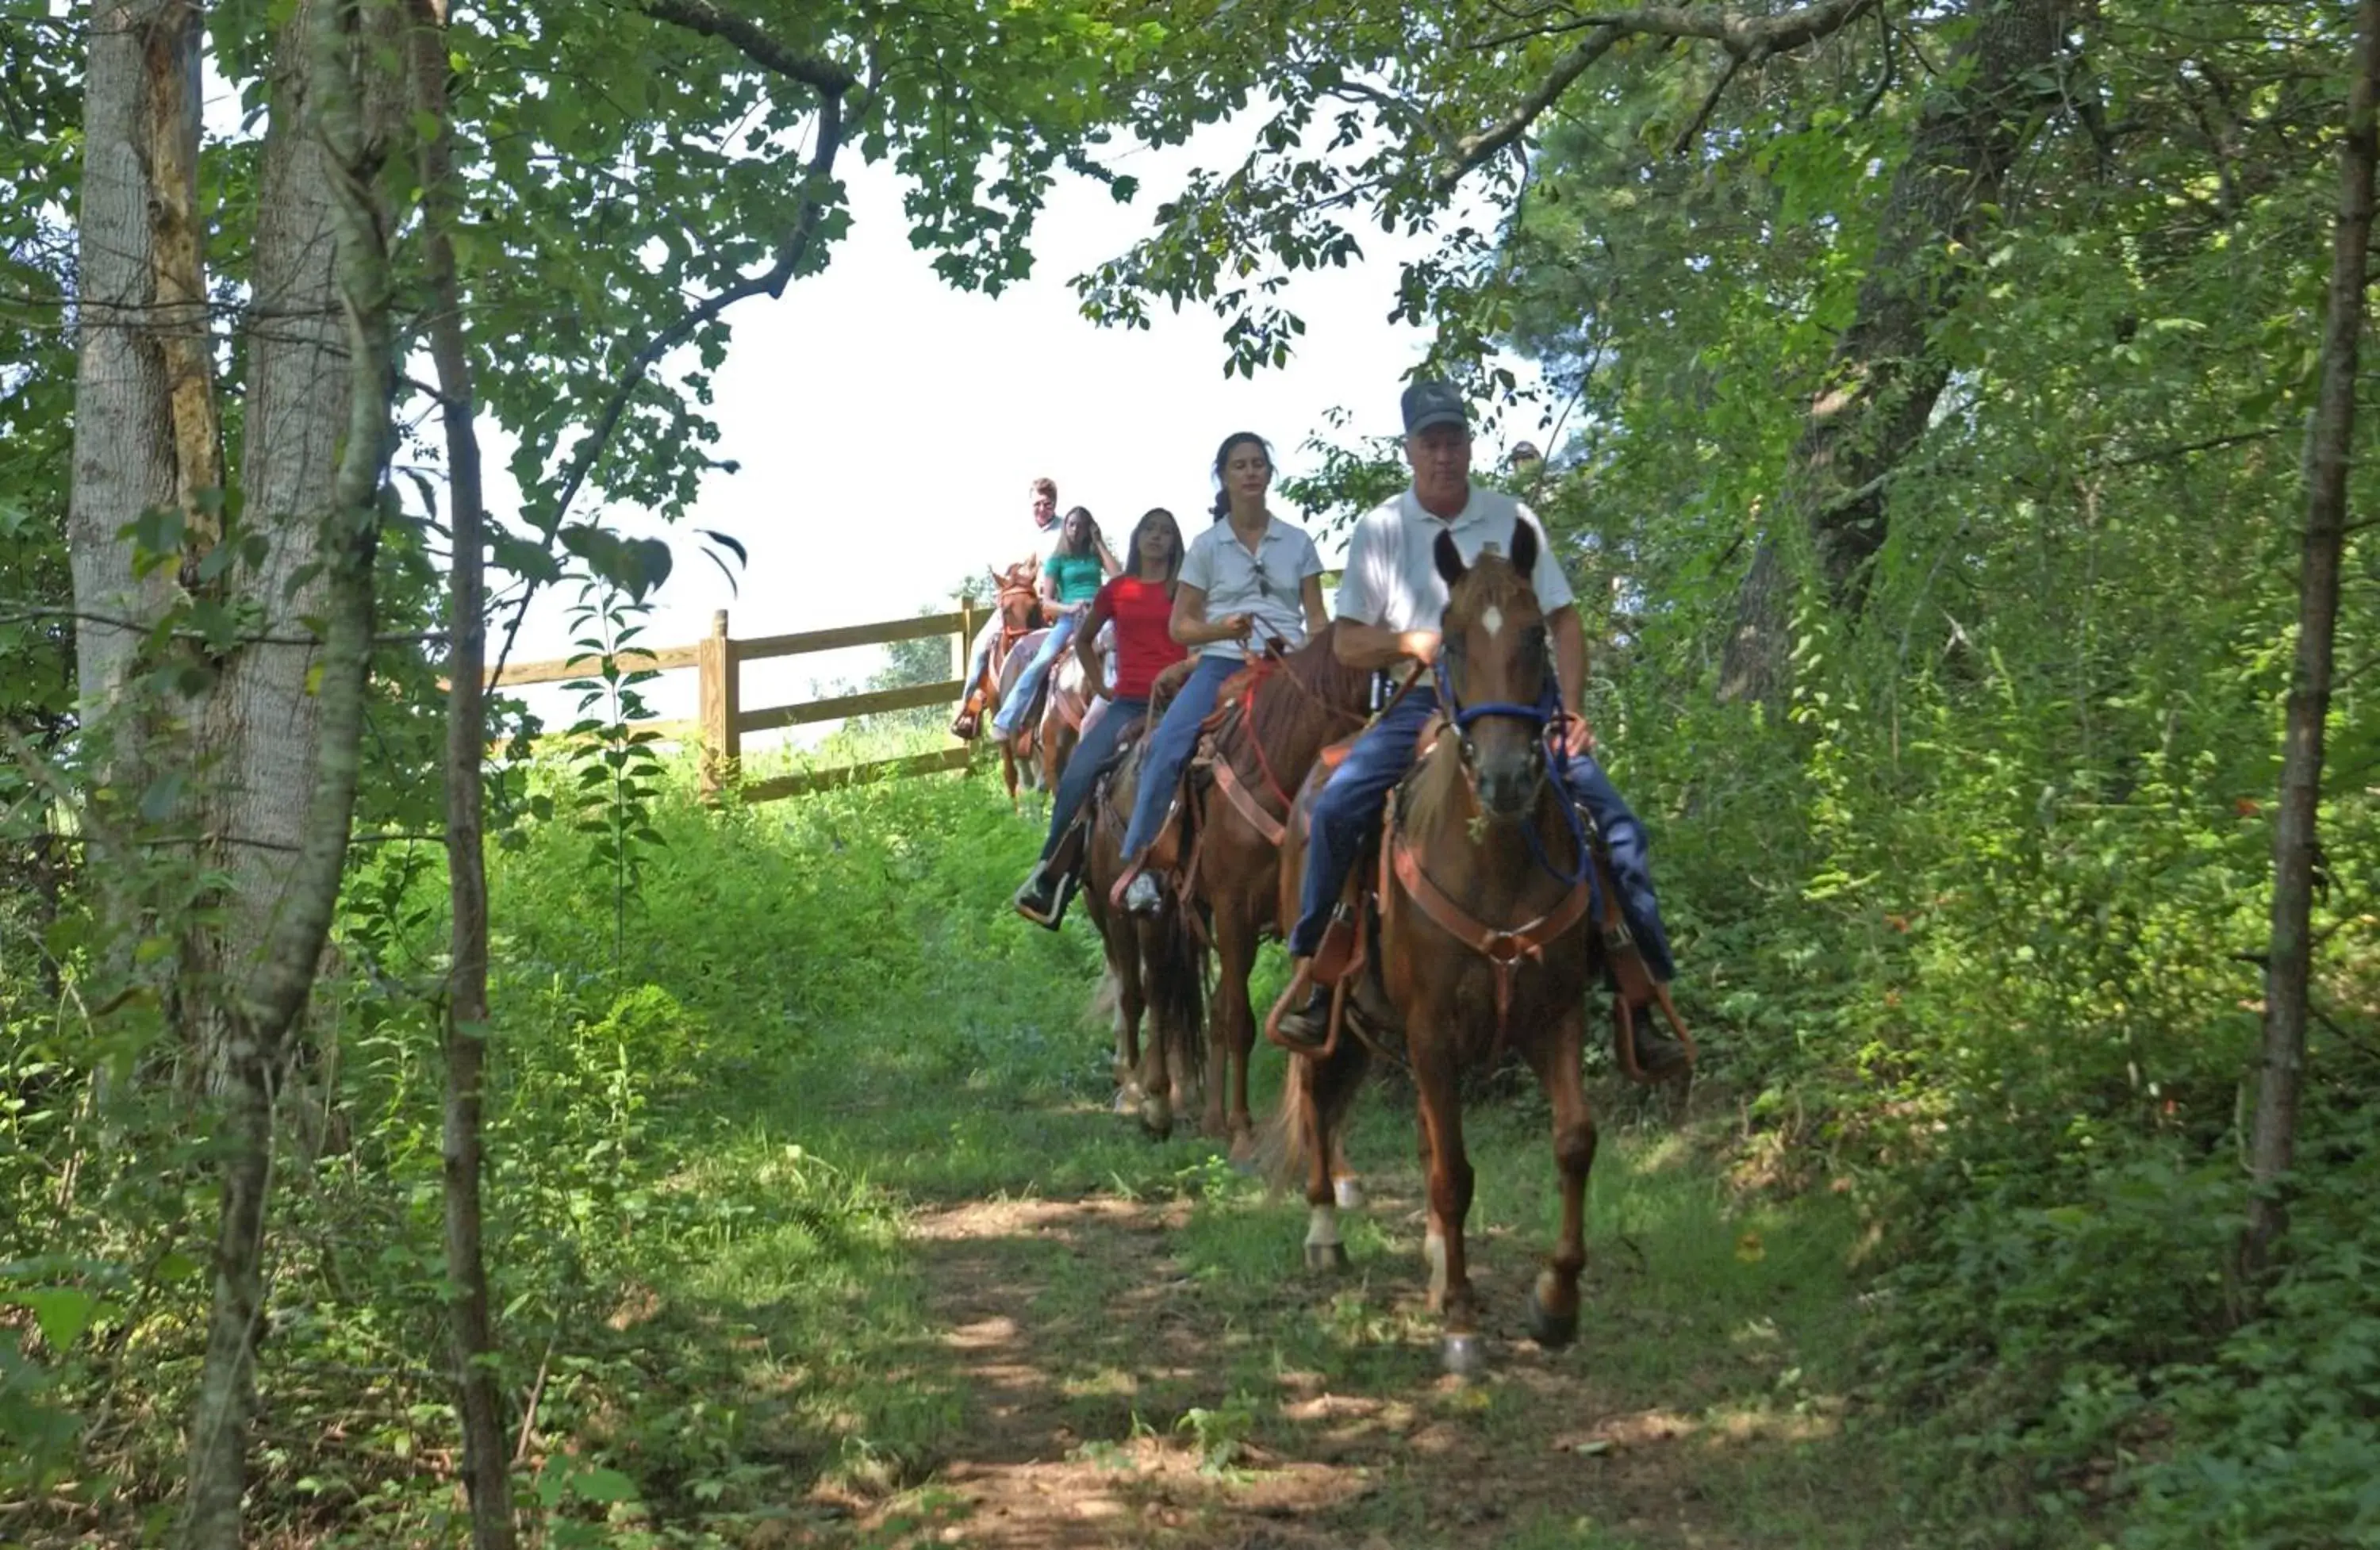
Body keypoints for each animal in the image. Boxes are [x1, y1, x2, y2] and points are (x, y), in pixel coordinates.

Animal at [1285, 528, 1618, 1380]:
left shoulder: (1554, 1015)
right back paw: (1323, 1231)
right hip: (1331, 1004)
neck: (1493, 859)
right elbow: (1454, 1173)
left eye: (1534, 635)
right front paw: (1465, 1324)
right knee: (1315, 1086)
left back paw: (1437, 1264)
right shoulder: (1433, 1029)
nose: (1504, 777)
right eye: (1457, 639)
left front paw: (1556, 1302)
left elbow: (1573, 1143)